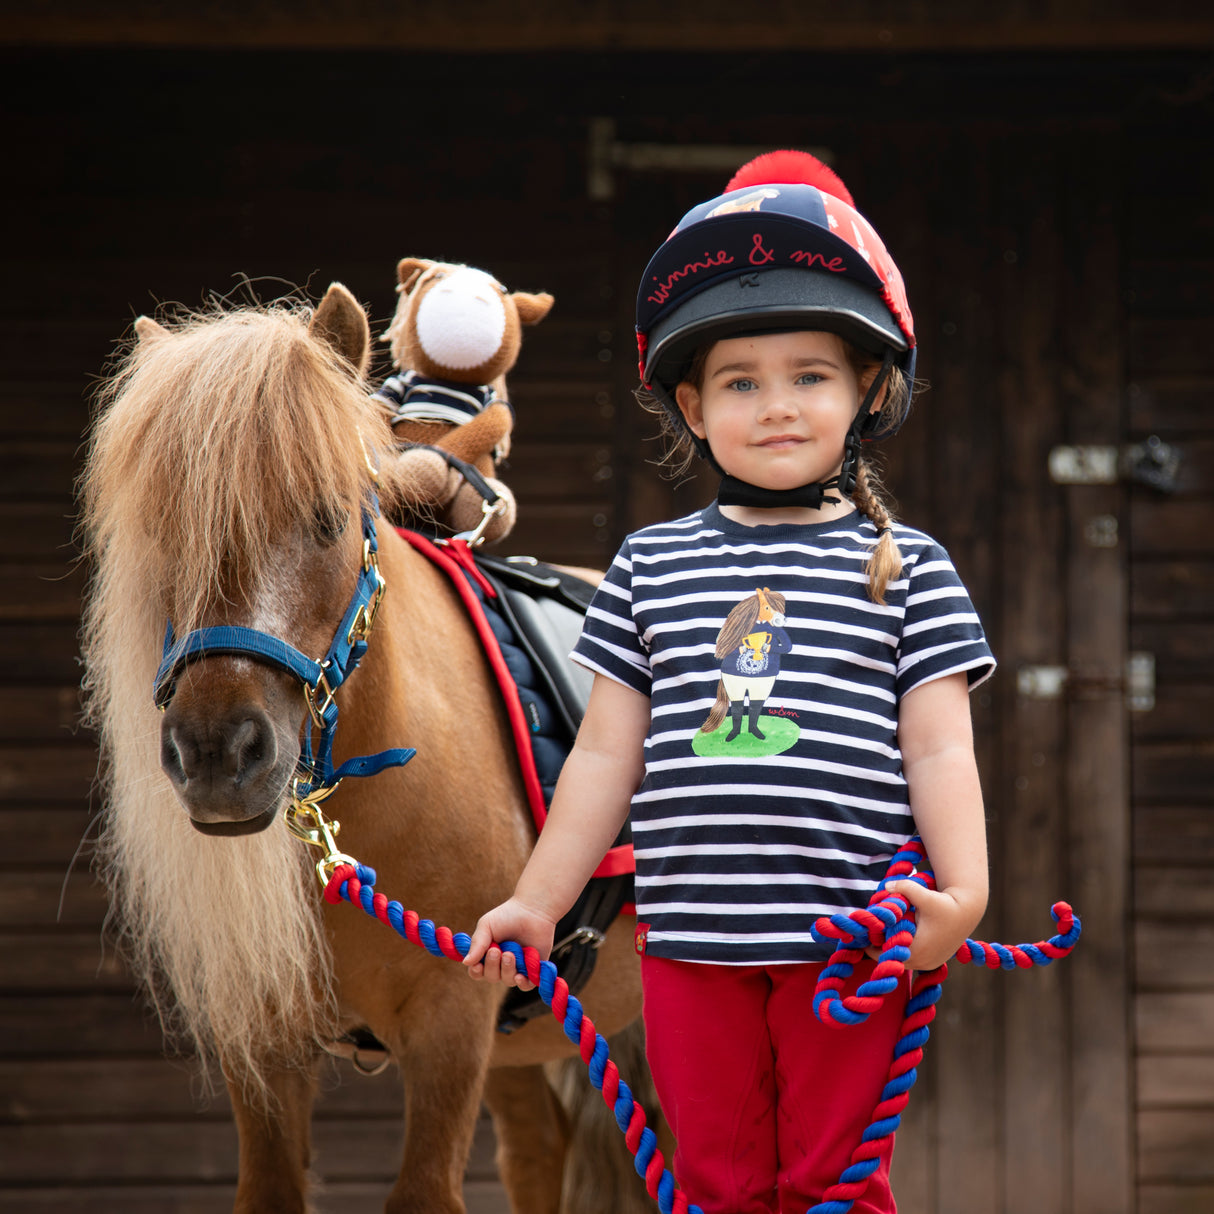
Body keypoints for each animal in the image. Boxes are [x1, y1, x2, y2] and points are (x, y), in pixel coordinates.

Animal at [79, 286, 650, 1214]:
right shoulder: (264, 1044)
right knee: (539, 1153)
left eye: (325, 518)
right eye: (164, 533)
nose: (218, 753)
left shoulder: (452, 1025)